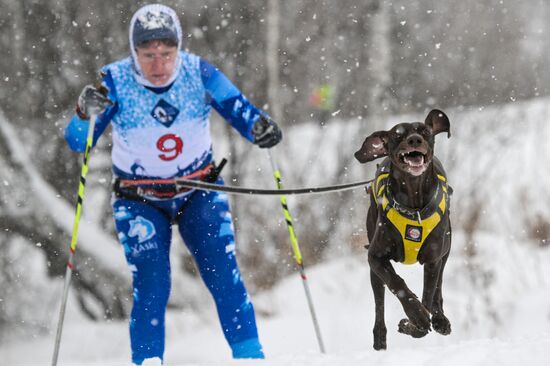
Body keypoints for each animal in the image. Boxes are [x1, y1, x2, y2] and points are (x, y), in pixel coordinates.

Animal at [358, 108, 452, 348]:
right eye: (396, 135)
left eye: (425, 131)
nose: (414, 140)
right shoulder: (375, 257)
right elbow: (396, 283)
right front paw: (415, 314)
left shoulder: (433, 259)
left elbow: (429, 295)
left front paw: (414, 323)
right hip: (373, 270)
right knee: (379, 302)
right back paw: (379, 339)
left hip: (446, 249)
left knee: (439, 287)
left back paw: (440, 319)